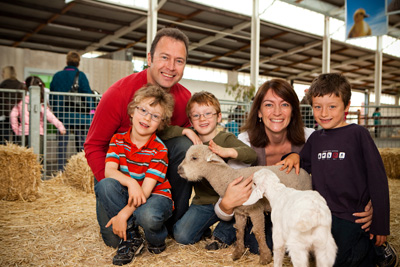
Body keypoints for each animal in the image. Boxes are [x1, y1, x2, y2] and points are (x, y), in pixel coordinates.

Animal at [178, 146, 312, 266]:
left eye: (194, 158)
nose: (179, 169)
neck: (230, 177)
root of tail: (303, 171)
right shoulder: (239, 212)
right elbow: (239, 230)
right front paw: (238, 253)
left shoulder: (256, 209)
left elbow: (258, 232)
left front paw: (265, 257)